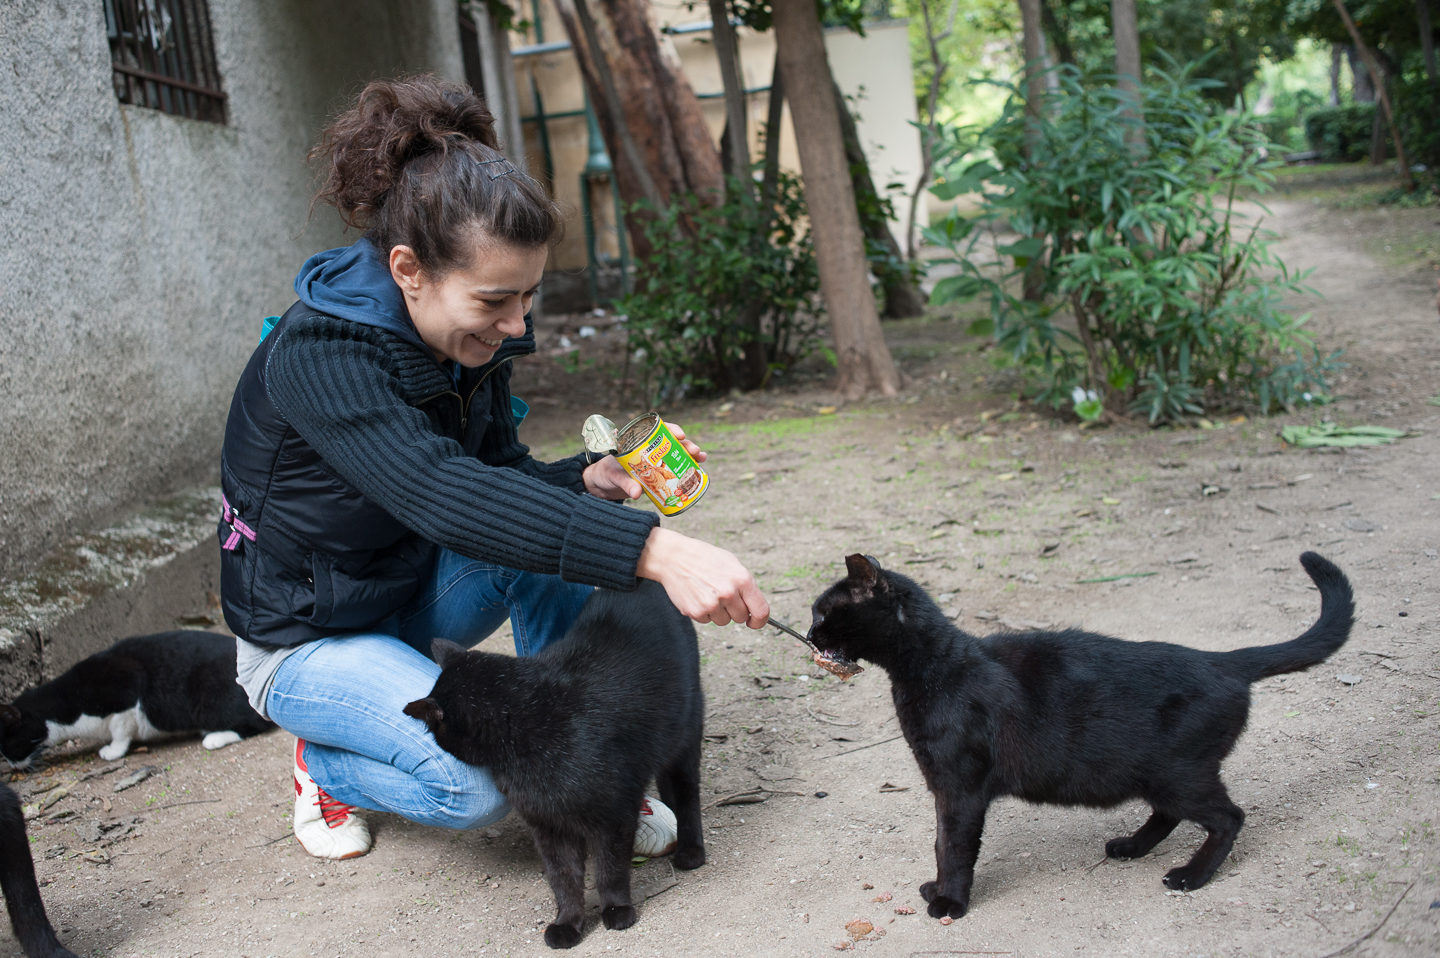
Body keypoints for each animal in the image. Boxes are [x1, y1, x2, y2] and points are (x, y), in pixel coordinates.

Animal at [0, 628, 273, 772]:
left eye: (8, 745)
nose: (11, 765)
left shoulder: (125, 691)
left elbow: (120, 731)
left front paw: (113, 750)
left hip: (209, 702)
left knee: (255, 724)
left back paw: (214, 737)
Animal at [403, 579, 705, 945]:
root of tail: (645, 583)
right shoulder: (547, 824)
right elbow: (563, 877)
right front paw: (568, 923)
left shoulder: (614, 815)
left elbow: (610, 870)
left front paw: (617, 909)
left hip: (686, 736)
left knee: (686, 794)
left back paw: (691, 851)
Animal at [806, 550, 1353, 916]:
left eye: (823, 612)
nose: (809, 633)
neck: (935, 668)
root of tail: (1222, 660)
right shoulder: (945, 788)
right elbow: (941, 845)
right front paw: (937, 888)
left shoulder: (959, 788)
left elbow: (954, 847)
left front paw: (950, 902)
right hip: (1157, 774)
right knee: (1169, 814)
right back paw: (1131, 847)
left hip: (1180, 774)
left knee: (1228, 818)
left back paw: (1189, 876)